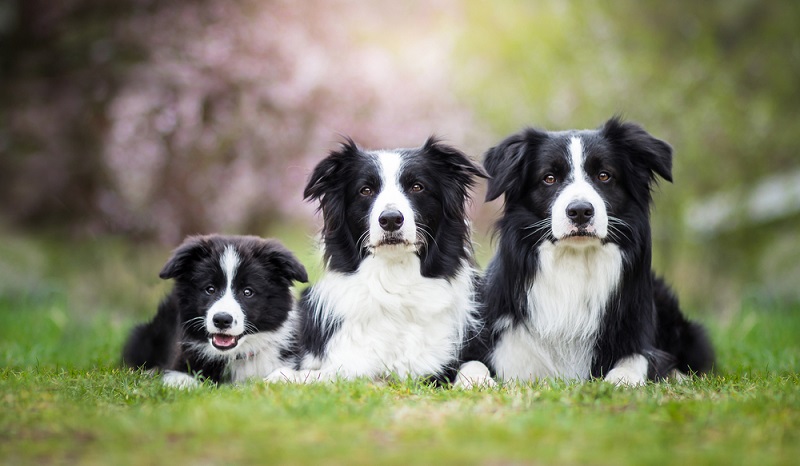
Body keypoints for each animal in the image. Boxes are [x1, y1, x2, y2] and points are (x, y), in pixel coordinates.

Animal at [123, 235, 308, 388]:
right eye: (210, 289)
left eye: (247, 292)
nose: (221, 320)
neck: (236, 355)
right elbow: (181, 379)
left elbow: (284, 373)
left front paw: (277, 378)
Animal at [266, 137, 488, 384]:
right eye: (366, 190)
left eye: (417, 187)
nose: (390, 219)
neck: (395, 278)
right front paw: (283, 375)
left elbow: (475, 364)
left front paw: (477, 382)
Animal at [478, 117, 716, 386]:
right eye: (549, 178)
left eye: (604, 176)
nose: (580, 211)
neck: (575, 264)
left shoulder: (635, 333)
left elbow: (637, 359)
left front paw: (620, 381)